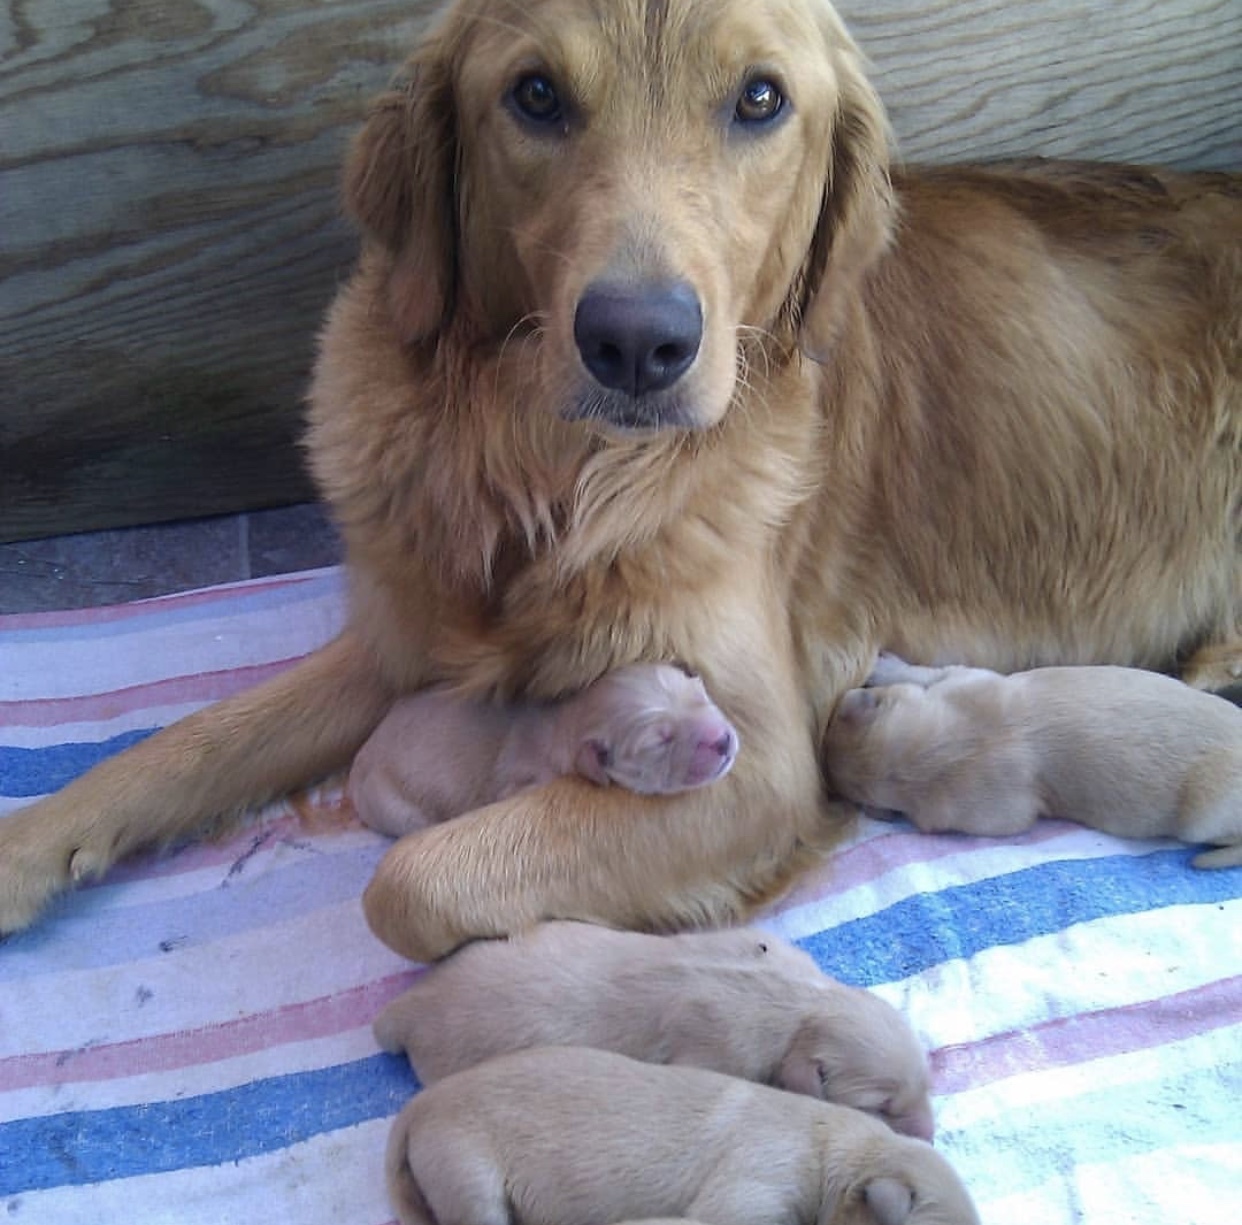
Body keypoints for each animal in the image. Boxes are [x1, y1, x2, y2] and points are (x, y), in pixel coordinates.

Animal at [347, 660, 735, 839]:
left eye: (699, 691)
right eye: (660, 741)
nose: (723, 740)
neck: (565, 720)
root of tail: (360, 760)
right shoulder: (523, 780)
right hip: (394, 806)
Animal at [824, 651, 1242, 869]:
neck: (939, 750)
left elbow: (928, 671)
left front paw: (884, 664)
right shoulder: (964, 686)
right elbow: (928, 676)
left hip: (1203, 816)